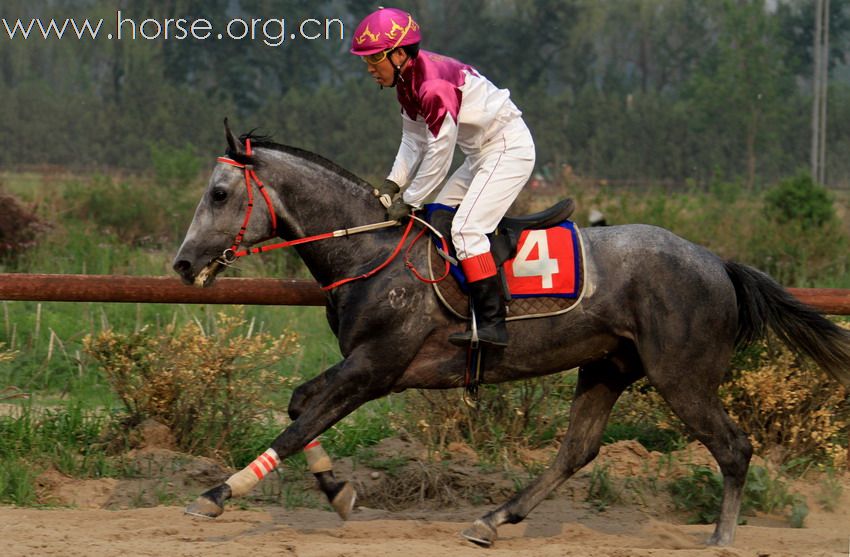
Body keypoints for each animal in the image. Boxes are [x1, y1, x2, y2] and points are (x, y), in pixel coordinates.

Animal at [172, 122, 848, 548]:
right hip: (607, 367)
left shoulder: (376, 368)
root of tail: (718, 263)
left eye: (219, 193)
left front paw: (217, 493)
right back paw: (494, 519)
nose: (182, 264)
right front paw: (337, 491)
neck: (369, 251)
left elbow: (297, 424)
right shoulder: (364, 367)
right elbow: (298, 408)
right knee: (578, 450)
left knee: (734, 448)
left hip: (681, 376)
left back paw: (722, 537)